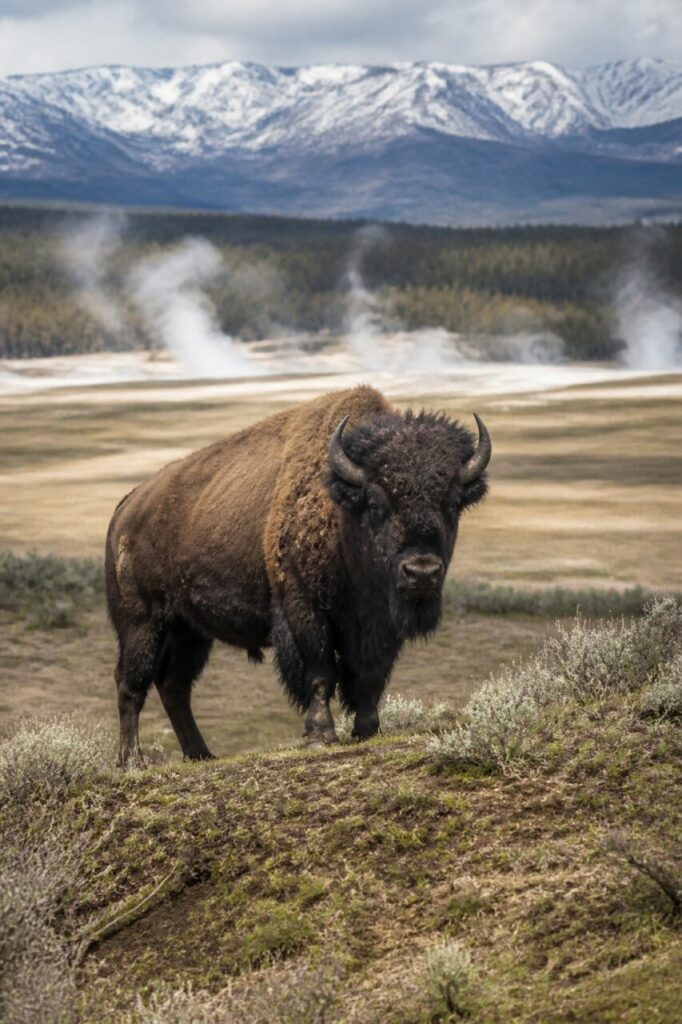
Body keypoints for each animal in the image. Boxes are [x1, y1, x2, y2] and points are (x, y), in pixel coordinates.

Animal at [105, 386, 490, 764]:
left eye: (452, 503)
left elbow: (369, 677)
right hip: (142, 623)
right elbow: (320, 673)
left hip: (190, 631)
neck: (343, 511)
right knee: (130, 684)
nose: (421, 572)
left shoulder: (379, 625)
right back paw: (133, 762)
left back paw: (201, 754)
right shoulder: (304, 609)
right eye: (377, 502)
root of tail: (126, 508)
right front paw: (321, 735)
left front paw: (368, 729)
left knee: (174, 687)